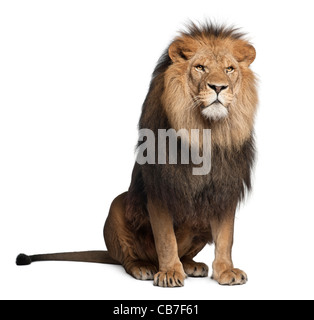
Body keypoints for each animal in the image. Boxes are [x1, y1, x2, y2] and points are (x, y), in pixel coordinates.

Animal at [15, 22, 258, 288]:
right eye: (200, 67)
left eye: (229, 69)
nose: (218, 87)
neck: (206, 131)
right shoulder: (159, 189)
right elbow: (166, 238)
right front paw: (169, 273)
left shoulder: (225, 189)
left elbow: (226, 236)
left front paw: (226, 271)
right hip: (116, 207)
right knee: (127, 258)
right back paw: (145, 267)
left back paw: (190, 264)